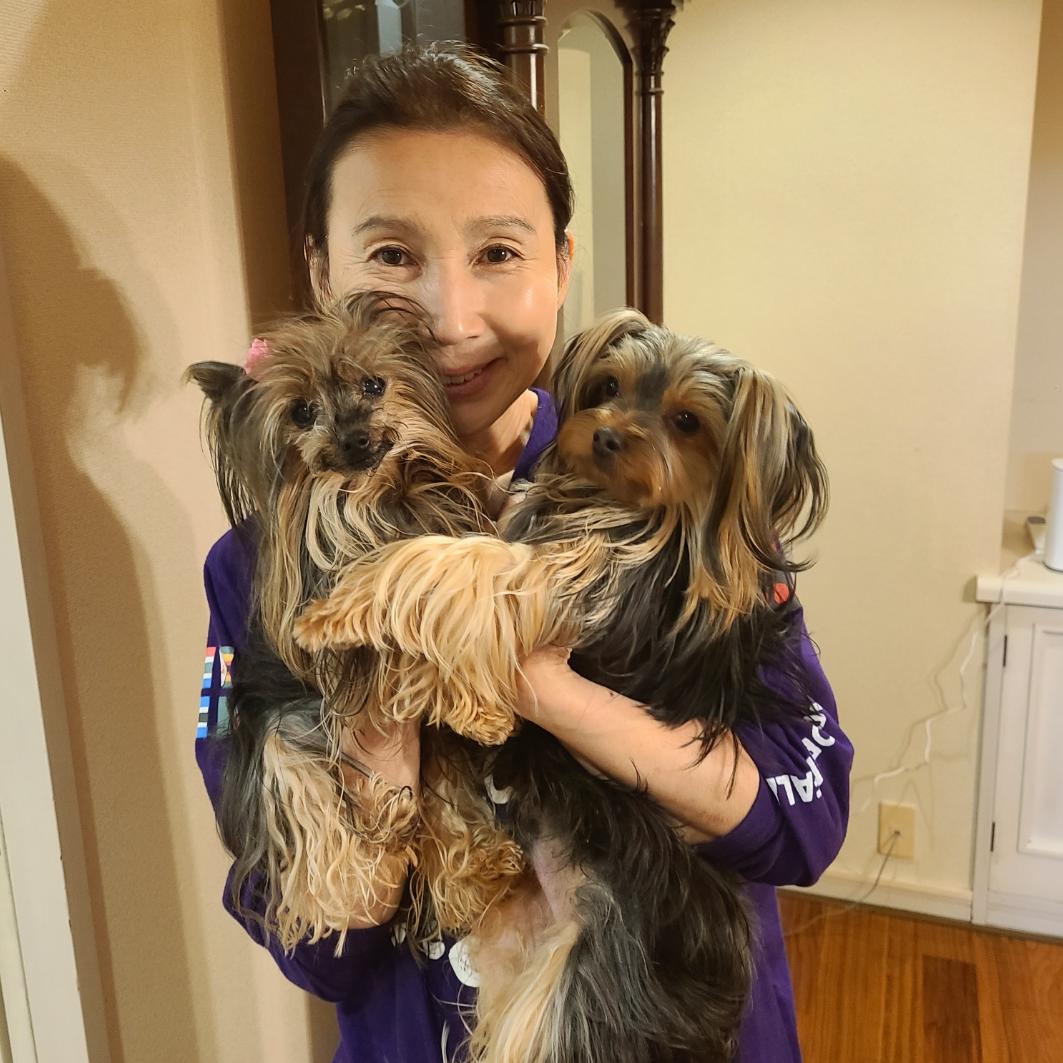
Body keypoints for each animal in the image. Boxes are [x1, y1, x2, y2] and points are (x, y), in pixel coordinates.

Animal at [187, 291, 523, 954]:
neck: (368, 501)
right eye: (302, 411)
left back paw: (477, 873)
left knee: (443, 803)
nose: (357, 440)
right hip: (278, 728)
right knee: (303, 795)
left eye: (374, 384)